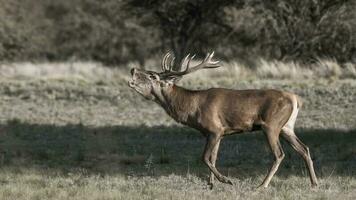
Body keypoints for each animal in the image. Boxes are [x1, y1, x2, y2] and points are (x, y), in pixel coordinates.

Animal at [127, 51, 318, 189]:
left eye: (152, 76)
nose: (133, 70)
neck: (191, 109)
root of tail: (296, 99)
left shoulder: (214, 129)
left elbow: (205, 157)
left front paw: (226, 180)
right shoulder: (217, 133)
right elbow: (214, 158)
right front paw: (210, 184)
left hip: (271, 125)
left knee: (279, 154)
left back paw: (262, 185)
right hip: (287, 127)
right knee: (304, 148)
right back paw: (314, 183)